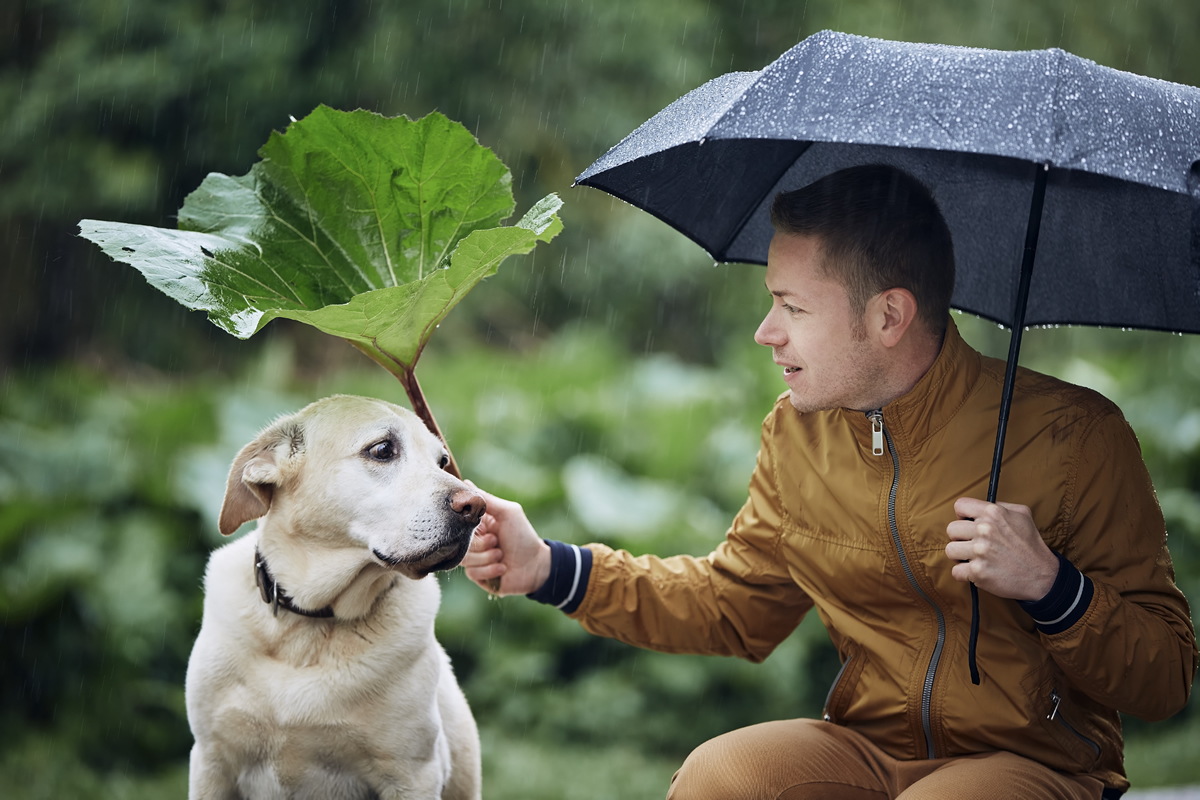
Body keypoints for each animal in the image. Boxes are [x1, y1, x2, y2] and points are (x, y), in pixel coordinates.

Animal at [184, 395, 480, 800]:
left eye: (442, 462)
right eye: (382, 450)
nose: (477, 507)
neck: (310, 625)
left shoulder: (412, 775)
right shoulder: (211, 762)